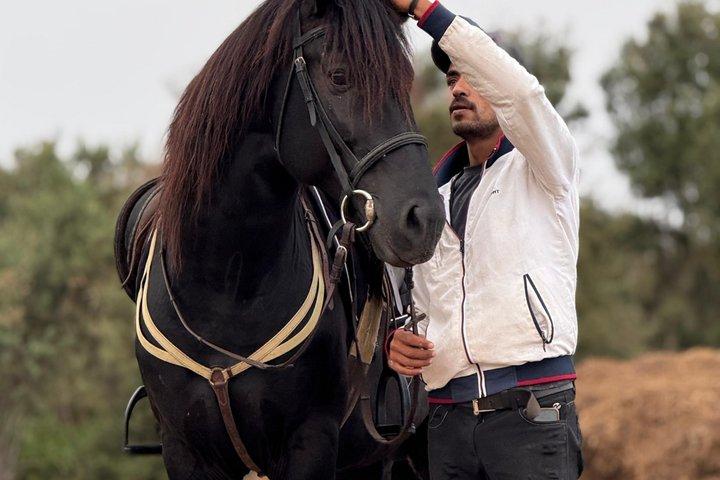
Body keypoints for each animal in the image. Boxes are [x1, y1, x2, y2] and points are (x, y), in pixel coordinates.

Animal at [116, 0, 445, 478]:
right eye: (340, 76)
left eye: (405, 80)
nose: (424, 217)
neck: (227, 285)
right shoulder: (184, 451)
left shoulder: (310, 443)